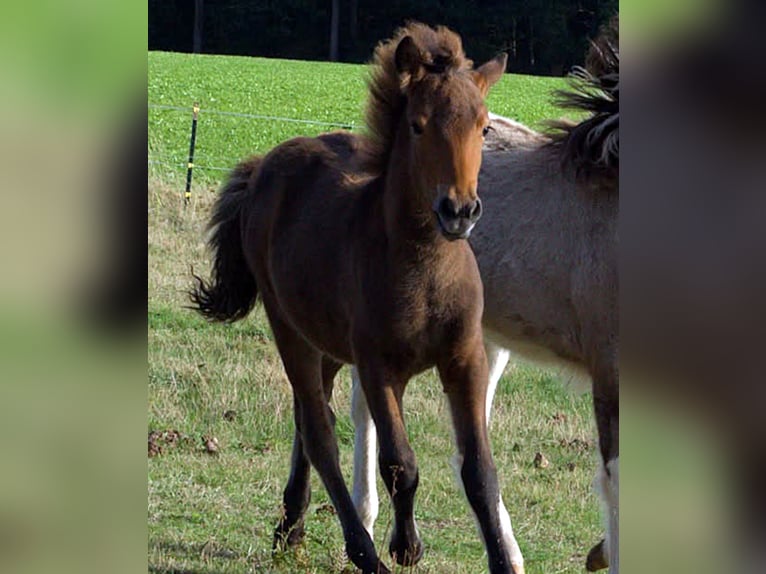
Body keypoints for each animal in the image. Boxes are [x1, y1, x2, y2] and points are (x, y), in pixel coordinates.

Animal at [190, 22, 515, 574]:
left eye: (484, 128)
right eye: (418, 126)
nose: (459, 210)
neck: (424, 266)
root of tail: (264, 165)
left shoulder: (464, 357)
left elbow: (479, 470)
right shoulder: (378, 365)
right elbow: (400, 463)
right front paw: (405, 547)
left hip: (324, 341)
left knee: (307, 416)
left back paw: (290, 529)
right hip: (290, 329)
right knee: (320, 433)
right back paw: (362, 552)